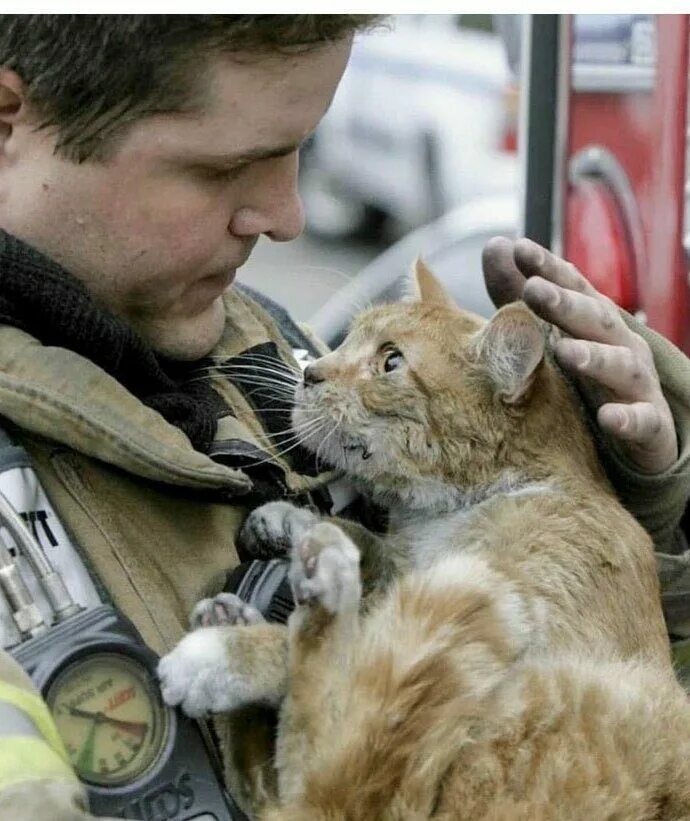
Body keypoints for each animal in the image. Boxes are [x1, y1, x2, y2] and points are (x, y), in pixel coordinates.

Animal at [157, 262, 688, 812]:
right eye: (350, 338)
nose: (310, 371)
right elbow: (365, 542)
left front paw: (230, 655)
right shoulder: (409, 565)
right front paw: (289, 522)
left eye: (390, 360)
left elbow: (356, 657)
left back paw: (224, 640)